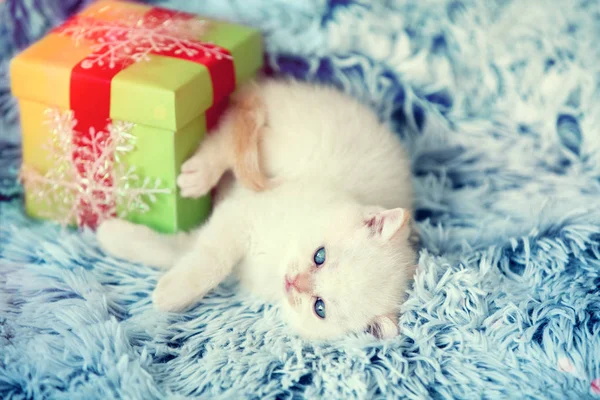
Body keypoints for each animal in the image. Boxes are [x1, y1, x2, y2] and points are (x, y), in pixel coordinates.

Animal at [98, 79, 418, 340]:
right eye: (320, 256)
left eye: (320, 307)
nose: (294, 282)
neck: (276, 257)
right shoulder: (243, 211)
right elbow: (213, 260)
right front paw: (172, 292)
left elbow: (179, 251)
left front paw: (117, 239)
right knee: (228, 138)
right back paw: (199, 175)